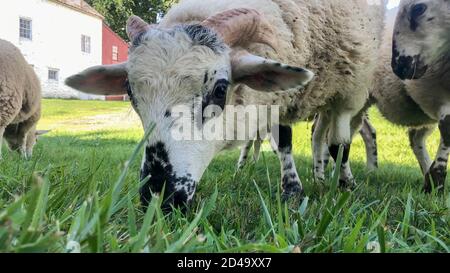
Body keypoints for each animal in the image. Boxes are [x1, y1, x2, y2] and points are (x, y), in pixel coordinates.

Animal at [67, 0, 386, 210]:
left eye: (221, 90)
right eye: (131, 93)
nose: (159, 197)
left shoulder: (347, 92)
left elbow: (340, 145)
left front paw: (338, 187)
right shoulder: (277, 98)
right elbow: (284, 140)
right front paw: (293, 189)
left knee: (333, 139)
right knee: (319, 136)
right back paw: (319, 175)